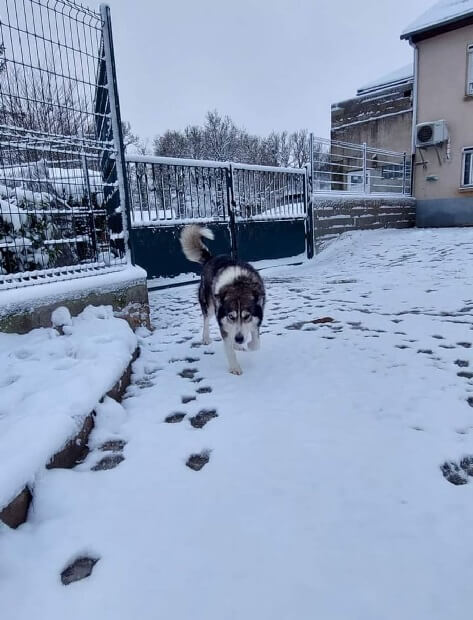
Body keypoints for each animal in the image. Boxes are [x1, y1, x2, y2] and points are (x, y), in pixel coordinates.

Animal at [179, 225, 265, 375]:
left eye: (247, 316)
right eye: (231, 316)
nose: (239, 338)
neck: (238, 283)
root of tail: (211, 258)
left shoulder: (257, 316)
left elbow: (256, 342)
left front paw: (248, 344)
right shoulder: (223, 322)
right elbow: (229, 348)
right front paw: (235, 367)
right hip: (208, 305)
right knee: (206, 320)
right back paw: (206, 338)